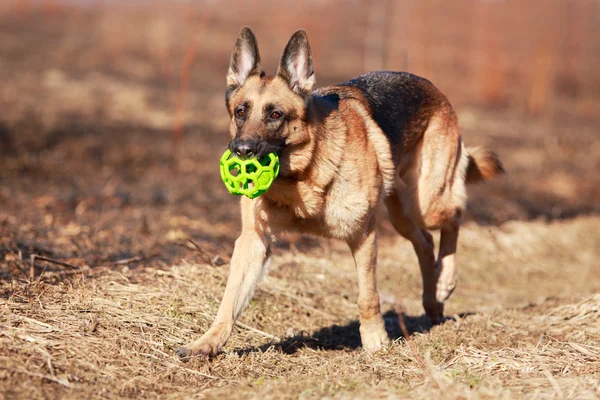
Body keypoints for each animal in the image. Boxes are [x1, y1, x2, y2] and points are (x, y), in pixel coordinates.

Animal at [176, 28, 504, 360]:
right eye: (241, 112)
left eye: (276, 114)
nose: (241, 151)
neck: (301, 176)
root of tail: (434, 89)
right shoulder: (254, 240)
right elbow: (229, 299)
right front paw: (207, 342)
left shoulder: (363, 234)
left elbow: (368, 296)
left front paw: (375, 342)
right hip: (402, 214)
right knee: (424, 242)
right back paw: (433, 301)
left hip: (426, 202)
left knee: (455, 215)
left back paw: (445, 281)